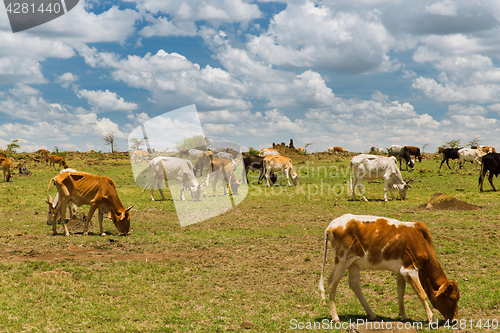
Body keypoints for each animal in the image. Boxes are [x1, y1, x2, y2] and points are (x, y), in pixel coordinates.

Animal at [320, 214, 460, 322]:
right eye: (451, 298)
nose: (455, 320)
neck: (420, 240)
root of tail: (332, 224)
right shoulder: (410, 269)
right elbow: (422, 294)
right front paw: (431, 318)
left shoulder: (401, 271)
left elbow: (400, 292)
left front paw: (403, 316)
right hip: (341, 259)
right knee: (332, 282)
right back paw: (335, 317)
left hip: (353, 262)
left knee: (355, 285)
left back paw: (372, 314)